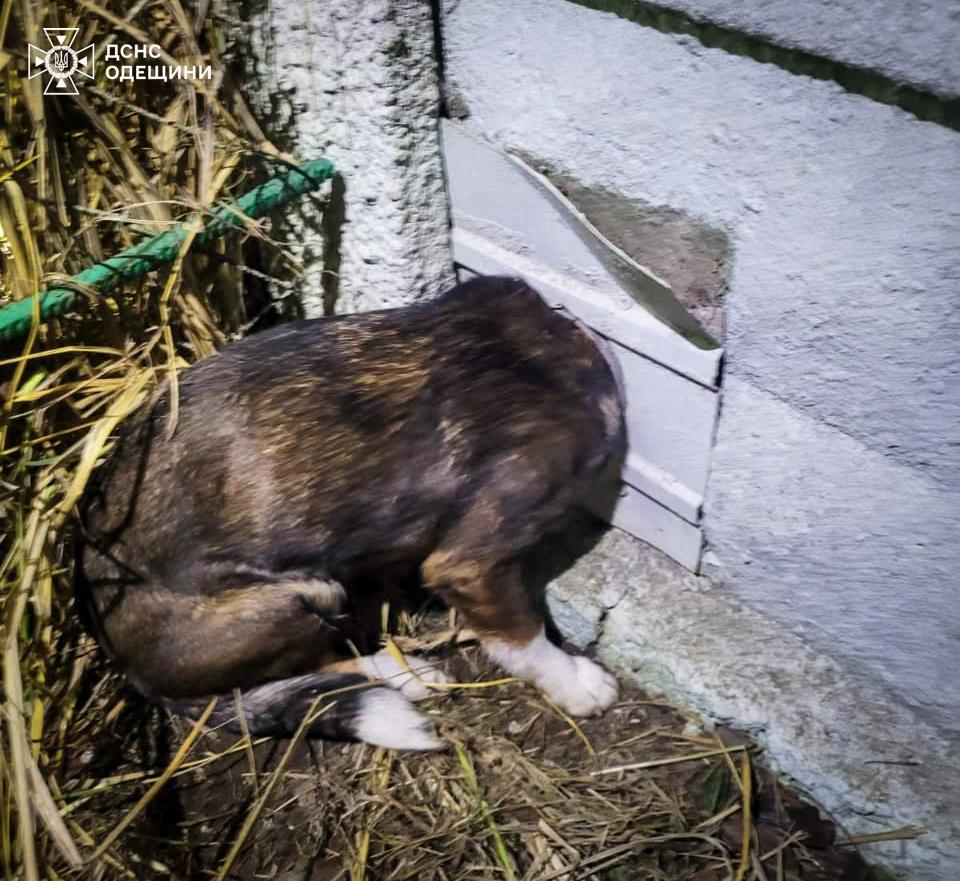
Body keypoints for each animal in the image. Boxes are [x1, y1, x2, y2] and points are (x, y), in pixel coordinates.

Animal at [77, 276, 632, 748]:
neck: (536, 340)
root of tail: (134, 675)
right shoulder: (472, 564)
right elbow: (526, 637)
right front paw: (576, 683)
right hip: (304, 594)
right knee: (333, 666)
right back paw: (407, 674)